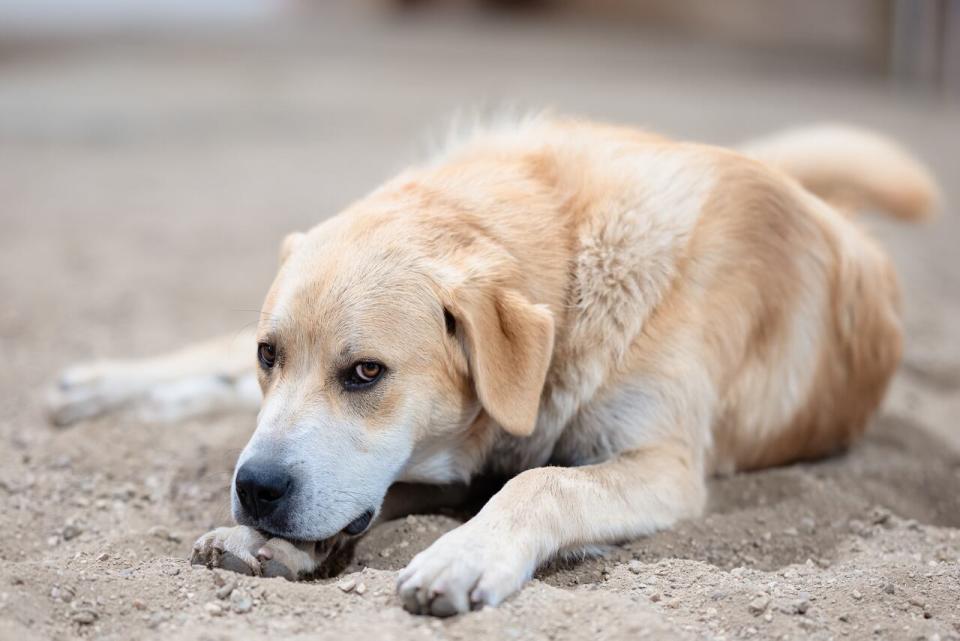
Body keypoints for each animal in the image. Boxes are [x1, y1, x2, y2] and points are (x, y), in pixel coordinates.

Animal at [47, 115, 936, 616]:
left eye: (365, 373)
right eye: (273, 355)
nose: (255, 487)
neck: (574, 269)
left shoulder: (665, 465)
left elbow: (539, 482)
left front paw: (463, 552)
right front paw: (267, 540)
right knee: (205, 361)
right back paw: (92, 385)